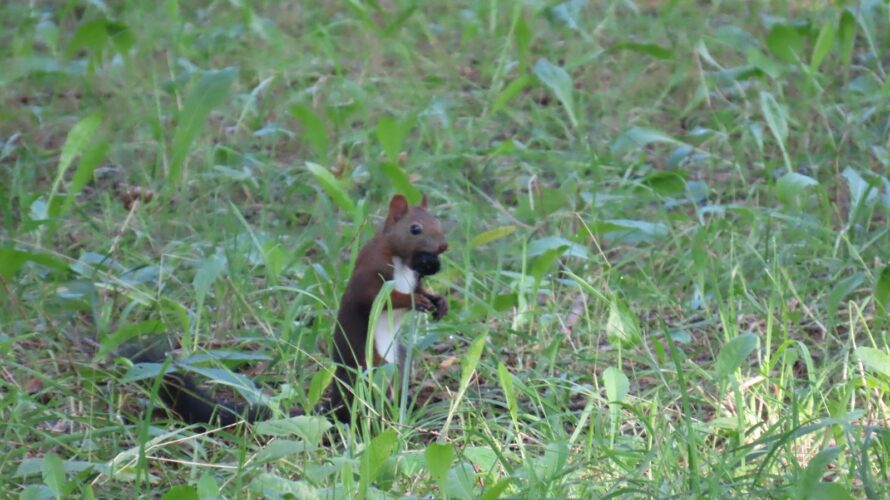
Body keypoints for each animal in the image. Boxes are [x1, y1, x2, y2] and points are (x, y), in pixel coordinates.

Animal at [127, 193, 448, 428]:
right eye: (415, 228)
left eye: (438, 221)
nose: (443, 246)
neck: (403, 261)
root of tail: (336, 404)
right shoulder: (370, 273)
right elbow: (376, 298)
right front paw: (415, 302)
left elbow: (421, 290)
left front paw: (438, 301)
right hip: (373, 365)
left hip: (398, 360)